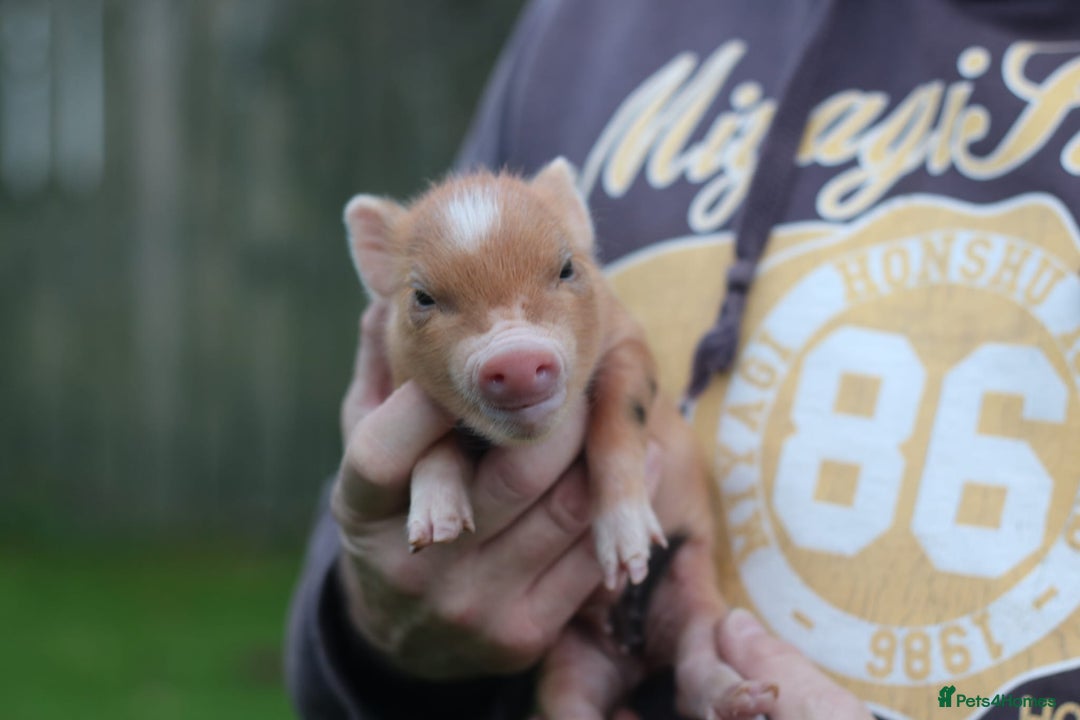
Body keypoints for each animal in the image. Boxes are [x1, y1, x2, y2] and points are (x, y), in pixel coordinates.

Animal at [343, 158, 778, 719]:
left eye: (568, 268)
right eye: (422, 297)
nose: (516, 357)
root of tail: (631, 651)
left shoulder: (629, 344)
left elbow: (620, 418)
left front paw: (627, 553)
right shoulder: (404, 388)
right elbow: (433, 447)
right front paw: (434, 532)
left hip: (692, 580)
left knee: (698, 654)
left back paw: (745, 699)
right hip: (572, 652)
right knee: (571, 699)